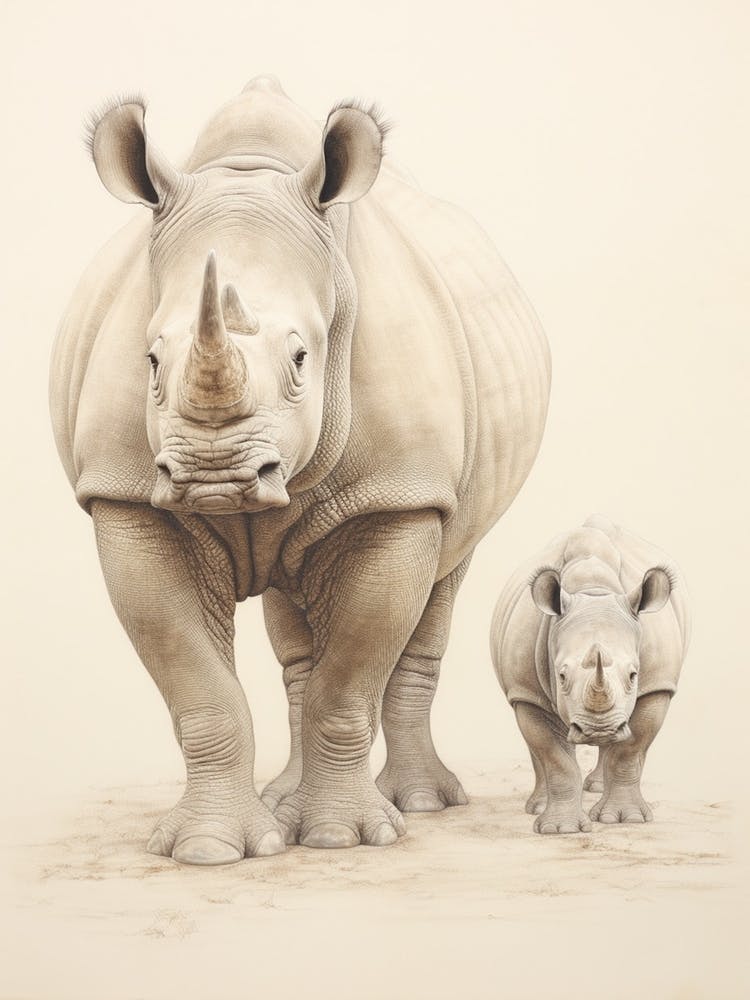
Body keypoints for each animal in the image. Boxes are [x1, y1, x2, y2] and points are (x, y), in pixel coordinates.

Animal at [50, 76, 550, 865]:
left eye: (300, 359)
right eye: (152, 361)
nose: (216, 474)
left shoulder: (399, 495)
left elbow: (348, 680)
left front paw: (343, 839)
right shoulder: (124, 494)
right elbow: (197, 682)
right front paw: (209, 850)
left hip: (445, 488)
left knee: (442, 580)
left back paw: (419, 804)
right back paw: (285, 802)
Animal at [491, 515, 690, 833]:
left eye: (634, 675)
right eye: (561, 676)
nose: (599, 729)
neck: (594, 589)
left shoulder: (657, 685)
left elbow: (629, 749)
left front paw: (625, 819)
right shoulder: (525, 692)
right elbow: (555, 758)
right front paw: (559, 829)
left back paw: (600, 788)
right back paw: (537, 807)